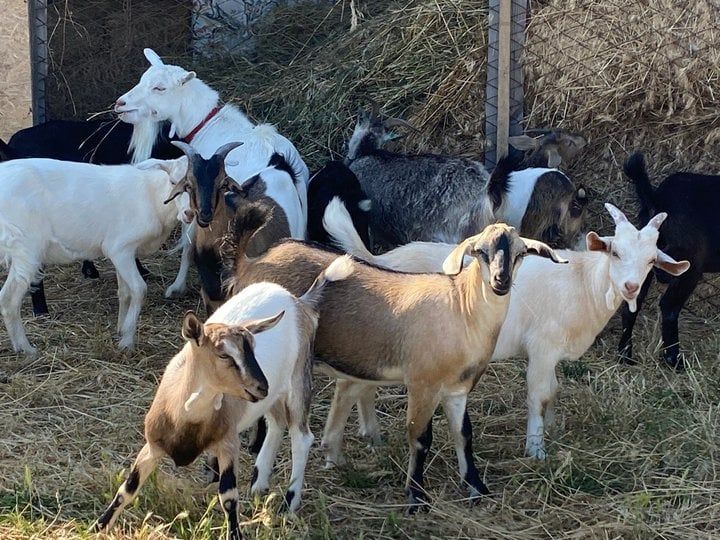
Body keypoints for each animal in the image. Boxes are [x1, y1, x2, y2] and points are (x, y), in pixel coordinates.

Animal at [0, 156, 190, 354]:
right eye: (173, 181)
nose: (189, 214)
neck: (152, 196)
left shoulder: (123, 254)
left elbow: (125, 292)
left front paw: (120, 329)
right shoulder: (120, 248)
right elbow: (139, 289)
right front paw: (127, 341)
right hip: (25, 247)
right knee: (8, 299)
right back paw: (27, 349)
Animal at [95, 253, 353, 538]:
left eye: (252, 347)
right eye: (223, 354)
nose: (260, 385)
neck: (186, 416)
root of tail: (298, 301)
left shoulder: (228, 444)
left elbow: (228, 497)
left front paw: (236, 533)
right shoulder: (153, 445)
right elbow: (127, 488)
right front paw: (100, 525)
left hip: (298, 381)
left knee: (301, 436)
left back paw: (289, 502)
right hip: (272, 396)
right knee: (276, 425)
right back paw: (259, 485)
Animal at [224, 206, 564, 509]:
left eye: (520, 253)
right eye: (480, 251)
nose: (500, 281)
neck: (461, 309)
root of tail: (250, 262)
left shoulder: (457, 389)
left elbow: (463, 435)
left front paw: (476, 488)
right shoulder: (422, 383)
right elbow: (420, 436)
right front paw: (415, 497)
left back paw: (262, 480)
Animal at [323, 199, 690, 459]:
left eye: (651, 261)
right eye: (615, 252)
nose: (630, 287)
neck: (581, 282)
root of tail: (380, 261)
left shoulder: (551, 354)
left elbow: (553, 390)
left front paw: (552, 429)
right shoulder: (542, 347)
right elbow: (538, 394)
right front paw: (536, 449)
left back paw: (373, 436)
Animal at [618, 152, 718, 370]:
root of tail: (658, 200)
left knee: (633, 303)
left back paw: (625, 355)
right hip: (689, 266)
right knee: (669, 307)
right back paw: (674, 360)